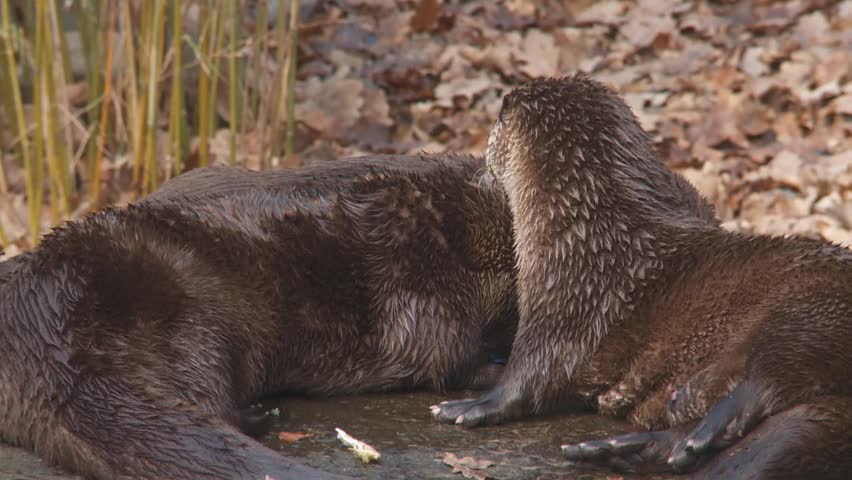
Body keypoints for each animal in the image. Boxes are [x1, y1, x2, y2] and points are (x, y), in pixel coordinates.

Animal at [0, 154, 521, 480]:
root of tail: (44, 328)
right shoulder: (417, 291)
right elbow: (441, 357)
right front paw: (491, 373)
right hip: (191, 318)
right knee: (204, 391)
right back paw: (256, 415)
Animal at [435, 75, 852, 478]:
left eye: (492, 131)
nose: (480, 169)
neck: (584, 231)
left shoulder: (570, 305)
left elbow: (533, 375)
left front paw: (473, 405)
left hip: (809, 310)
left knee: (766, 377)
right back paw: (630, 449)